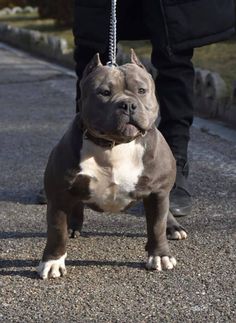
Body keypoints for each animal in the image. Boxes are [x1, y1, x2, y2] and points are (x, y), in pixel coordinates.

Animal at [37, 49, 186, 280]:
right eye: (104, 92)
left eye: (142, 90)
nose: (128, 104)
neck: (115, 145)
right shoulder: (59, 196)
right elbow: (56, 231)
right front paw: (53, 261)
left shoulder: (157, 192)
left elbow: (156, 226)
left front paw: (160, 255)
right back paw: (74, 225)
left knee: (164, 212)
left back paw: (173, 227)